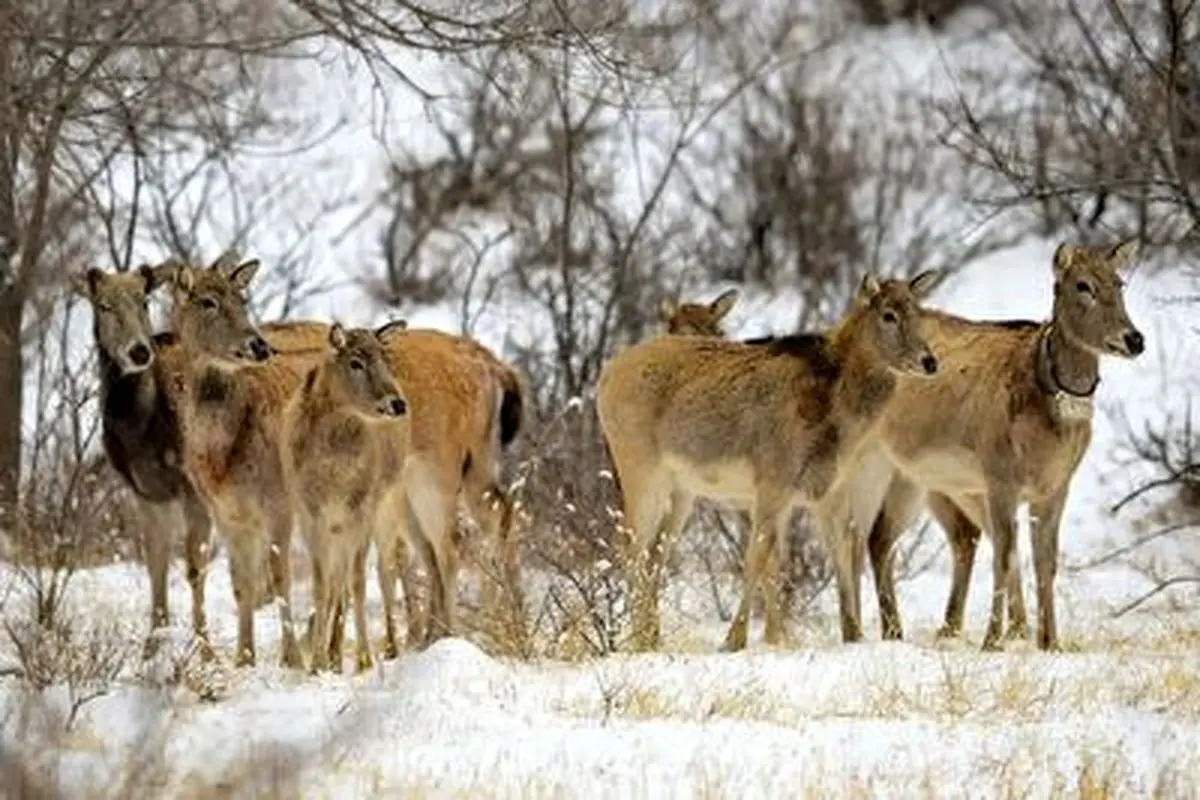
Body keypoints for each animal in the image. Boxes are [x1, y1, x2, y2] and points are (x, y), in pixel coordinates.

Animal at [280, 321, 412, 671]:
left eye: (385, 359)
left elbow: (358, 583)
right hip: (339, 527)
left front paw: (364, 660)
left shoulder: (362, 507)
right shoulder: (310, 513)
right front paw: (316, 663)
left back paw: (389, 648)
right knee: (338, 582)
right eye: (355, 362)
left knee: (385, 570)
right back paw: (333, 655)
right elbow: (322, 585)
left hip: (389, 506)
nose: (397, 404)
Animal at [595, 271, 940, 652]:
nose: (930, 362)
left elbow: (835, 555)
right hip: (640, 469)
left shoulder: (828, 491)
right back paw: (637, 639)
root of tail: (604, 379)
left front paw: (851, 635)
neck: (837, 415)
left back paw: (648, 636)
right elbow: (757, 558)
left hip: (680, 490)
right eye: (888, 315)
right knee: (632, 547)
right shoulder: (772, 481)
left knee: (655, 552)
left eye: (919, 311)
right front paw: (735, 639)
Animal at [859, 239, 1147, 652]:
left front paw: (1050, 642)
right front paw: (991, 641)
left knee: (961, 535)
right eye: (1083, 286)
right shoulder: (1000, 477)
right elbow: (1006, 557)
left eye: (1120, 283)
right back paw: (894, 632)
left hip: (943, 483)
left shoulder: (1056, 485)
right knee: (877, 537)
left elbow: (1044, 560)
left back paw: (954, 627)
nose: (1134, 339)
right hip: (889, 469)